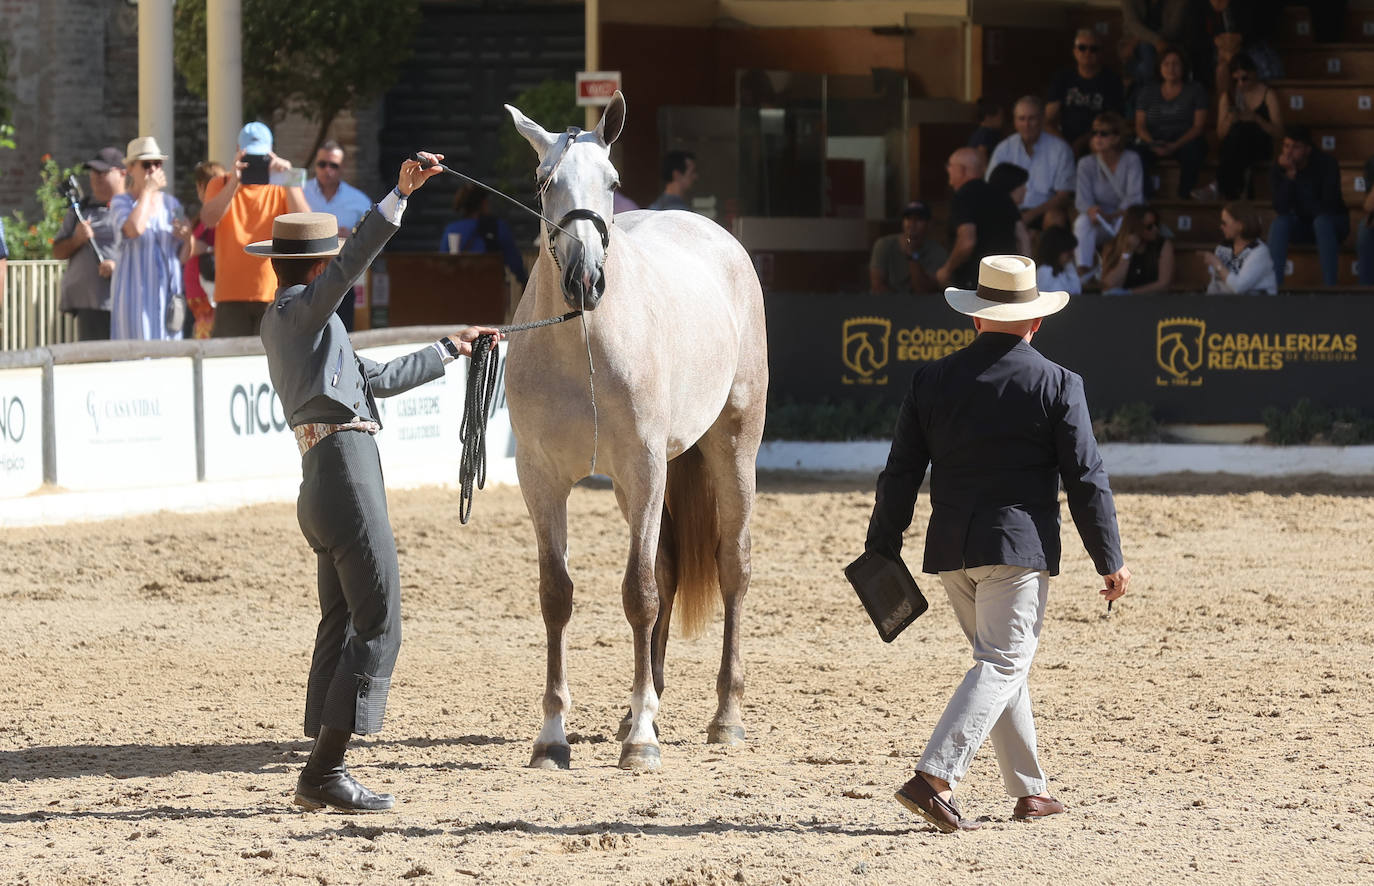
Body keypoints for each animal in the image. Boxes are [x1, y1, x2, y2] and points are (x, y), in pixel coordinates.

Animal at [503, 91, 768, 770]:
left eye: (613, 182)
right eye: (544, 183)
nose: (585, 279)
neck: (584, 345)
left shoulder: (645, 469)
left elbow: (639, 594)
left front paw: (643, 741)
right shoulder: (541, 480)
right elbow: (557, 594)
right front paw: (553, 735)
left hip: (732, 448)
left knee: (731, 566)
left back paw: (724, 716)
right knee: (671, 567)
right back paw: (641, 707)